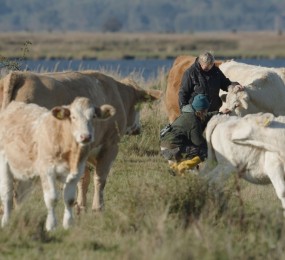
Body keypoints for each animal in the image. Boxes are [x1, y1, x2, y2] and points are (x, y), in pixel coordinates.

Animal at [0, 70, 161, 212]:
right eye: (138, 106)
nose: (138, 129)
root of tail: (19, 75)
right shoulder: (111, 145)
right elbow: (100, 177)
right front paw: (98, 207)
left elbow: (83, 178)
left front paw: (80, 207)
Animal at [0, 97, 115, 230]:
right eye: (73, 117)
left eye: (93, 116)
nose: (85, 136)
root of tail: (14, 105)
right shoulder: (47, 171)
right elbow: (52, 198)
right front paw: (51, 225)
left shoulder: (76, 173)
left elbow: (70, 199)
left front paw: (68, 224)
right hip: (4, 163)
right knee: (7, 194)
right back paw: (6, 222)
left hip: (26, 172)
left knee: (20, 195)